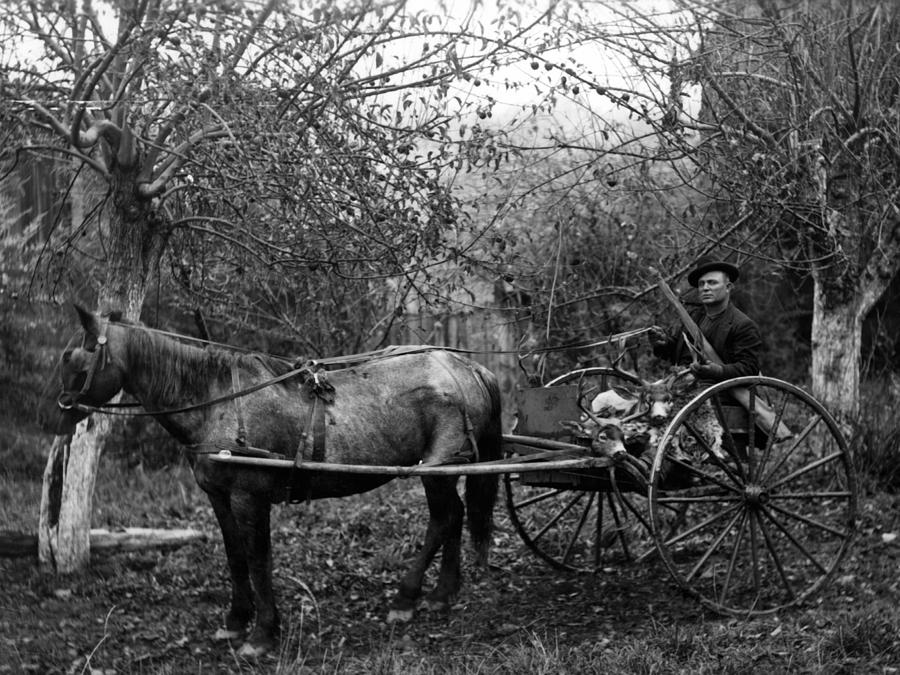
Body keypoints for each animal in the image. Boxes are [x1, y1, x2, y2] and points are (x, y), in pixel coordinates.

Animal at [38, 304, 502, 656]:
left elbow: (259, 560)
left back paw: (407, 597)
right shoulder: (218, 496)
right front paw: (235, 620)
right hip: (444, 468)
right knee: (454, 515)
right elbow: (235, 557)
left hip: (436, 468)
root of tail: (466, 366)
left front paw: (263, 633)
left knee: (442, 519)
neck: (218, 401)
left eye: (72, 358)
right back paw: (442, 593)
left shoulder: (250, 497)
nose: (53, 417)